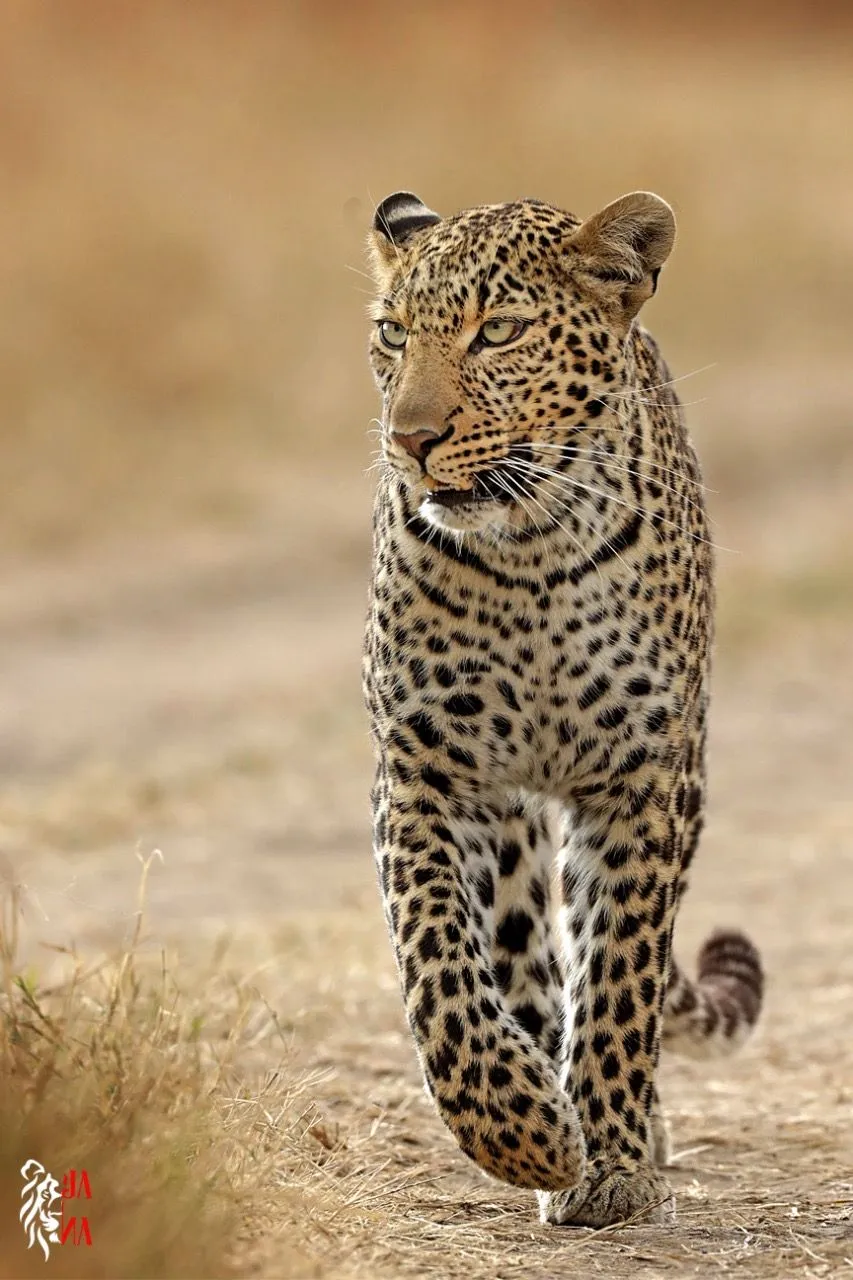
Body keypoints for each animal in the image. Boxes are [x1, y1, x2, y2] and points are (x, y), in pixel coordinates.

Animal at [361, 189, 764, 1228]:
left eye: (498, 333)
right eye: (392, 334)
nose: (410, 442)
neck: (527, 552)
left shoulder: (641, 777)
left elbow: (619, 972)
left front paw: (614, 1163)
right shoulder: (427, 769)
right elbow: (437, 960)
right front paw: (523, 1134)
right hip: (508, 818)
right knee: (522, 958)